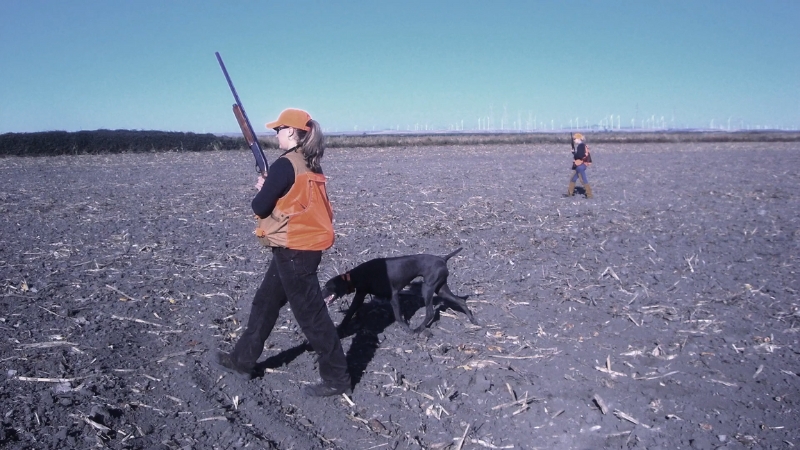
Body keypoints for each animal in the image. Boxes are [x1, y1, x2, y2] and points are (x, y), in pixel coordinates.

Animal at [320, 248, 478, 332]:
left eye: (327, 287)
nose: (320, 295)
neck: (356, 275)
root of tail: (443, 259)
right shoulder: (360, 294)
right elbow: (350, 313)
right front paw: (340, 328)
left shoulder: (394, 295)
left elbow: (397, 316)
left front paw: (406, 328)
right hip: (441, 289)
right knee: (461, 301)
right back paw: (473, 320)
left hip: (427, 289)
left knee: (430, 312)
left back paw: (418, 330)